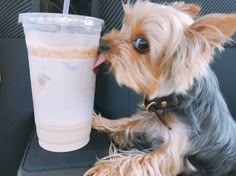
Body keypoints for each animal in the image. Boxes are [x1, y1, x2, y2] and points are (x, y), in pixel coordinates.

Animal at [85, 0, 236, 175]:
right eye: (124, 24)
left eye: (142, 44)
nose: (102, 43)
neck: (174, 99)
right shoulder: (150, 118)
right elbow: (127, 122)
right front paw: (99, 121)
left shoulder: (172, 151)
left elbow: (135, 160)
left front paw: (103, 167)